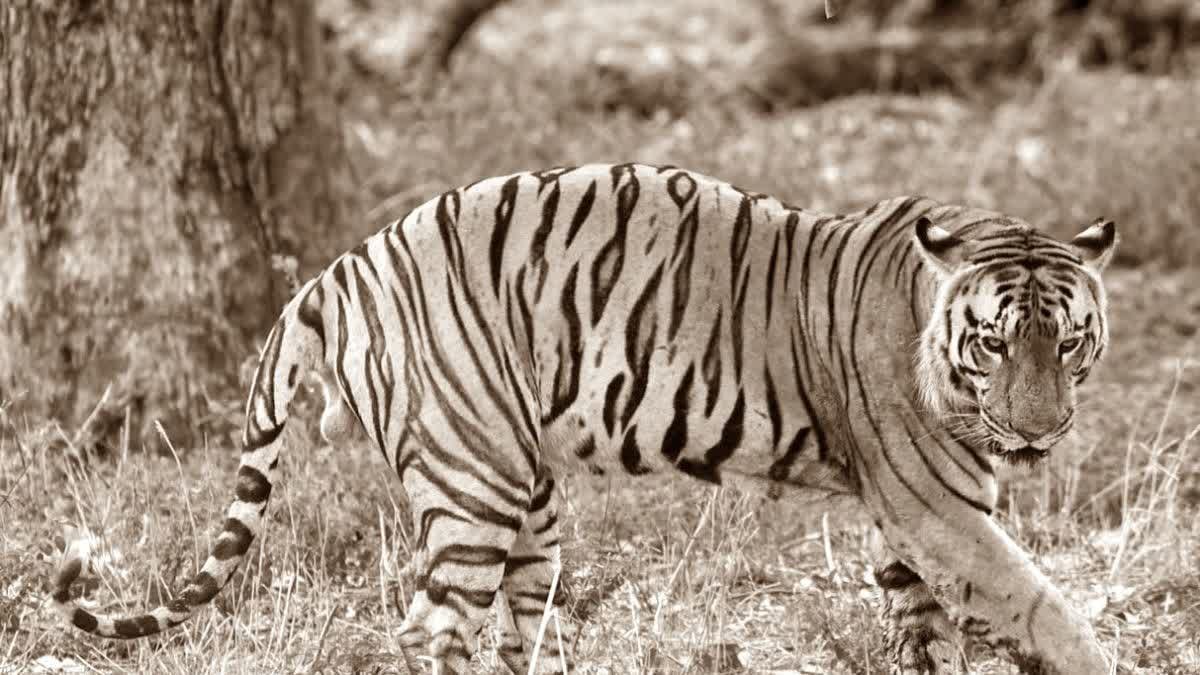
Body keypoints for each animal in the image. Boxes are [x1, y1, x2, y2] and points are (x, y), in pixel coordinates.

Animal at [53, 163, 1118, 674]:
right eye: (995, 343)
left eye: (1069, 342)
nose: (1038, 432)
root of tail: (335, 270)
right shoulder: (936, 510)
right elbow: (1042, 608)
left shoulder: (905, 523)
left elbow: (930, 631)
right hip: (473, 480)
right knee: (427, 629)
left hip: (528, 497)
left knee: (514, 629)